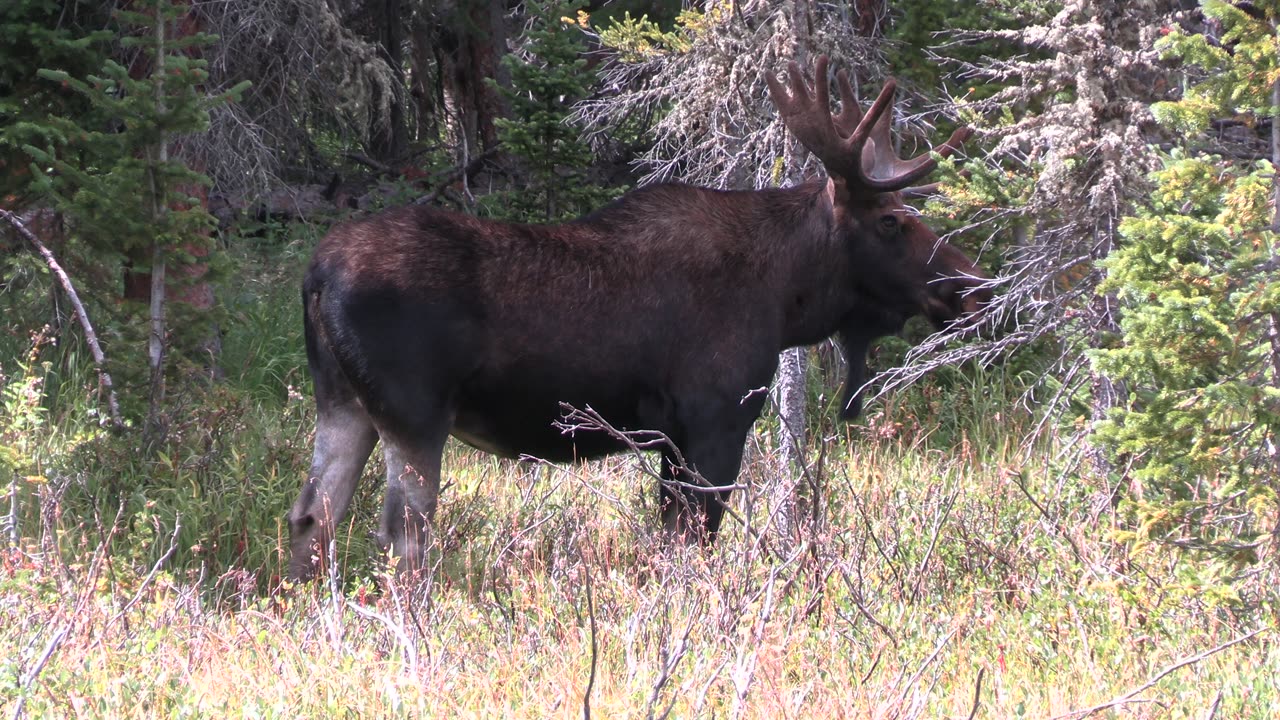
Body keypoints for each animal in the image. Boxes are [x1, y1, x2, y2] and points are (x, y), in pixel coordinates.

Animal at [288, 56, 988, 576]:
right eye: (892, 222)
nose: (973, 287)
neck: (787, 297)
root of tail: (317, 277)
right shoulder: (715, 417)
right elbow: (694, 540)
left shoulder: (672, 436)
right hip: (415, 414)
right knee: (401, 532)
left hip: (344, 403)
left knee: (312, 515)